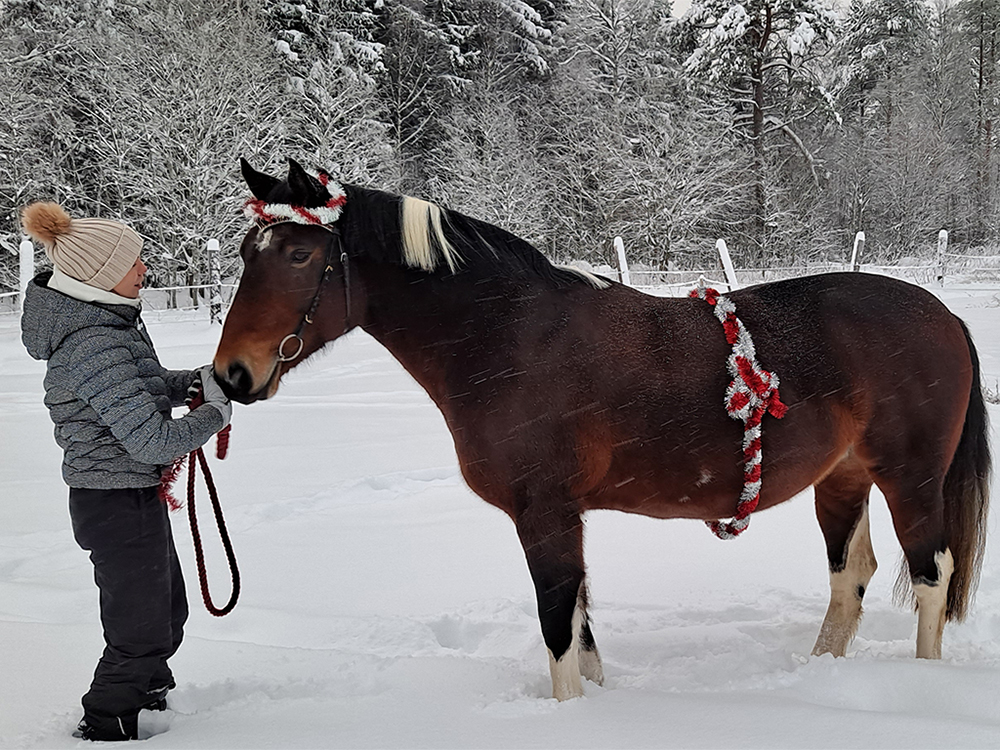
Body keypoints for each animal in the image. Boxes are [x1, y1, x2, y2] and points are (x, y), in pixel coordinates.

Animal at [215, 160, 988, 704]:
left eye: (298, 256)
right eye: (249, 251)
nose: (231, 375)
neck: (508, 336)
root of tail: (944, 315)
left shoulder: (545, 513)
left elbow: (558, 623)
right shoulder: (565, 516)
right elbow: (582, 627)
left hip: (910, 480)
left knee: (931, 575)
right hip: (844, 479)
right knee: (850, 576)